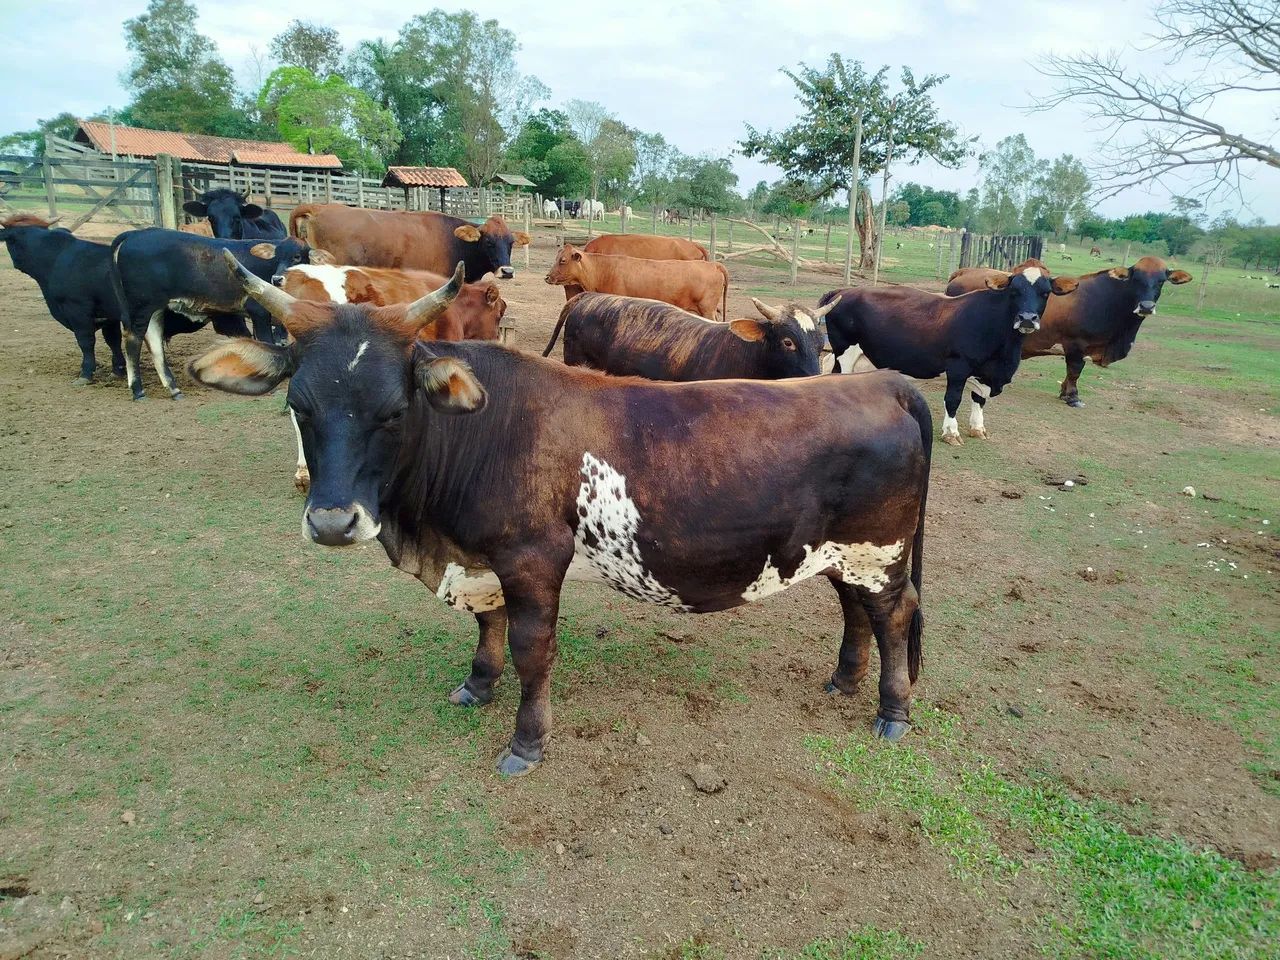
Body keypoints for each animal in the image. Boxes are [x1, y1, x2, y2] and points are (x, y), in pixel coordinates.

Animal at [0, 215, 242, 384]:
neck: (57, 258)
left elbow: (86, 343)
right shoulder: (109, 316)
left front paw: (86, 373)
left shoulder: (78, 311)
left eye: (11, 240)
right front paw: (118, 369)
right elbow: (113, 341)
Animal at [109, 229, 331, 399]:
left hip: (156, 308)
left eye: (296, 257)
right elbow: (266, 341)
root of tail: (135, 233)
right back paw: (138, 390)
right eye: (277, 256)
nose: (276, 279)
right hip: (141, 308)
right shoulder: (259, 312)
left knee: (154, 343)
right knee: (133, 342)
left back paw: (173, 389)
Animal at [821, 260, 1078, 445]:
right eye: (1014, 290)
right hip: (846, 351)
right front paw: (951, 433)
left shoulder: (985, 373)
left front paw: (978, 428)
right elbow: (953, 399)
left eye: (1045, 292)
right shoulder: (958, 366)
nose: (1027, 318)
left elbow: (979, 399)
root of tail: (842, 291)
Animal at [946, 256, 1191, 407]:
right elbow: (1075, 370)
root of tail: (964, 271)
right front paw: (1072, 396)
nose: (1146, 306)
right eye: (1136, 278)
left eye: (1161, 281)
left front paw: (1064, 391)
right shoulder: (1076, 343)